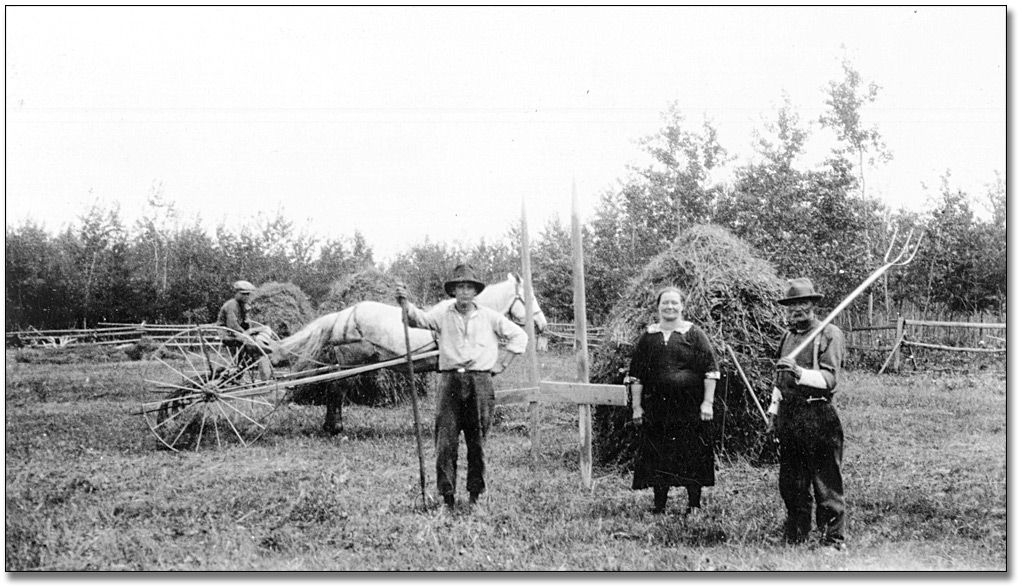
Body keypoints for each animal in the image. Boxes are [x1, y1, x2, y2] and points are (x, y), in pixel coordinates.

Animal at [267, 274, 547, 435]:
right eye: (530, 298)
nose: (542, 325)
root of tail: (344, 314)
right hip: (350, 363)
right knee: (336, 391)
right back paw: (336, 429)